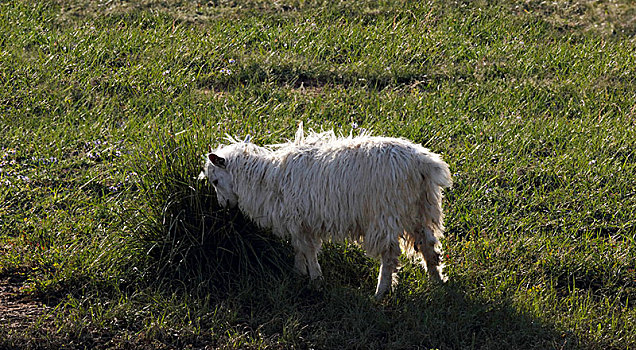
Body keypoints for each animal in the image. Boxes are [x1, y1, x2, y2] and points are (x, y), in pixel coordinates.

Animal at [199, 123, 452, 298]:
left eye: (215, 181)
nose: (224, 205)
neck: (266, 178)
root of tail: (423, 163)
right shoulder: (299, 223)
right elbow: (299, 249)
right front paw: (298, 274)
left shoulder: (299, 219)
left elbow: (308, 251)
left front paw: (316, 280)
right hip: (419, 209)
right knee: (429, 246)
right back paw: (437, 282)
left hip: (386, 214)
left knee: (389, 256)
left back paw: (380, 292)